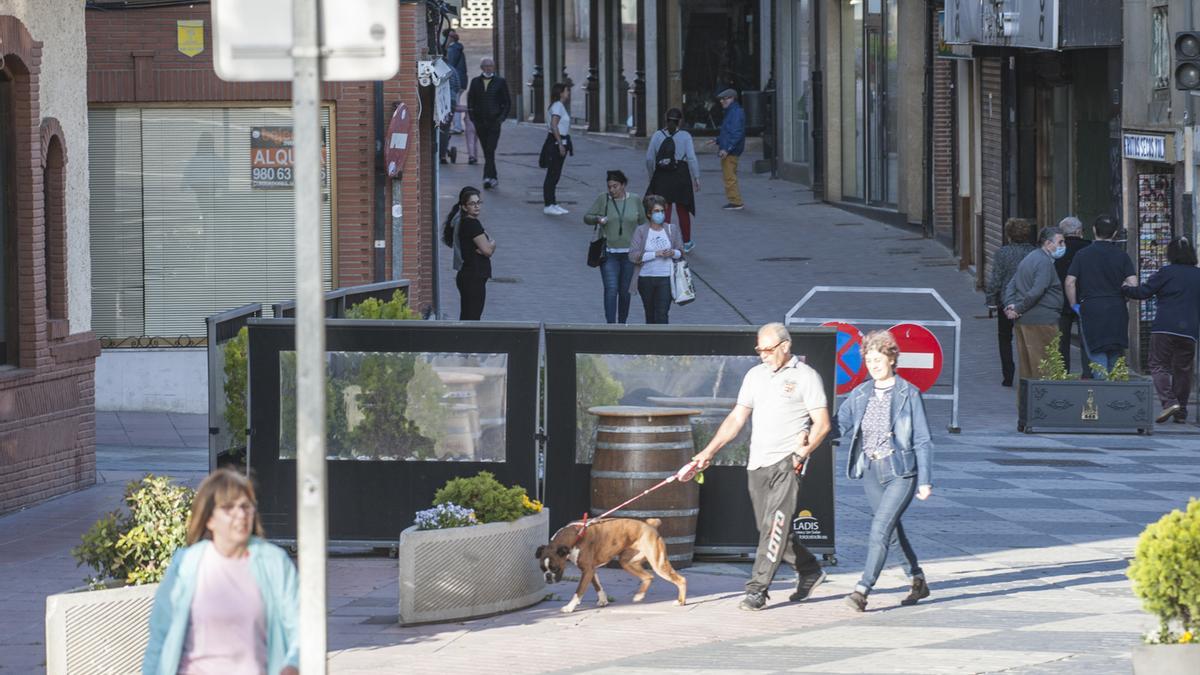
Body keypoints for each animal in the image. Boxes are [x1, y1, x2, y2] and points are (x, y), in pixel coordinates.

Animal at [535, 514, 686, 610]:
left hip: (658, 563)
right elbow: (597, 585)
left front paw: (570, 607)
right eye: (542, 568)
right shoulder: (590, 570)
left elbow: (579, 591)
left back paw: (681, 602)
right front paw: (603, 600)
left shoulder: (587, 570)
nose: (548, 577)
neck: (575, 536)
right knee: (649, 576)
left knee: (681, 580)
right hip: (627, 562)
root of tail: (649, 524)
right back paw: (639, 596)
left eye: (555, 568)